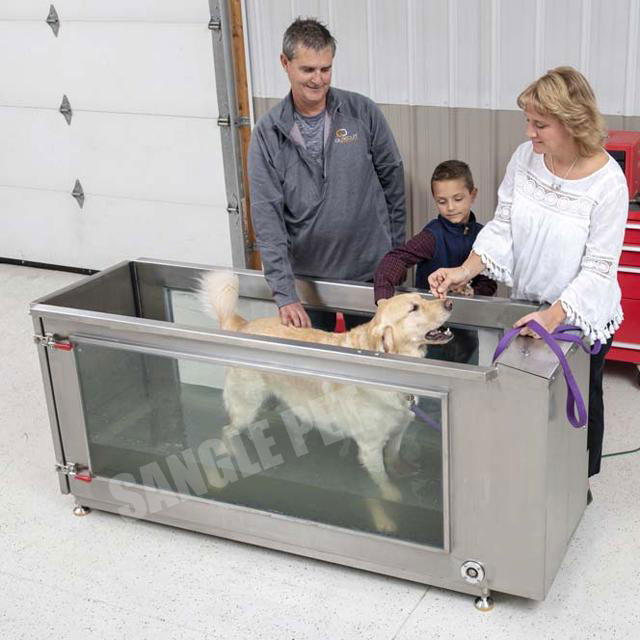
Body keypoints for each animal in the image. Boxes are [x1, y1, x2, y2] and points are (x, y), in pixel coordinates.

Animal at [198, 272, 452, 532]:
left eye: (422, 298)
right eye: (414, 308)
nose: (449, 302)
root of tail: (243, 325)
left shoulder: (398, 429)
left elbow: (393, 455)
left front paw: (402, 472)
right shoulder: (370, 447)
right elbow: (381, 481)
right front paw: (391, 500)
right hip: (246, 407)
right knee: (226, 432)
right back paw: (222, 465)